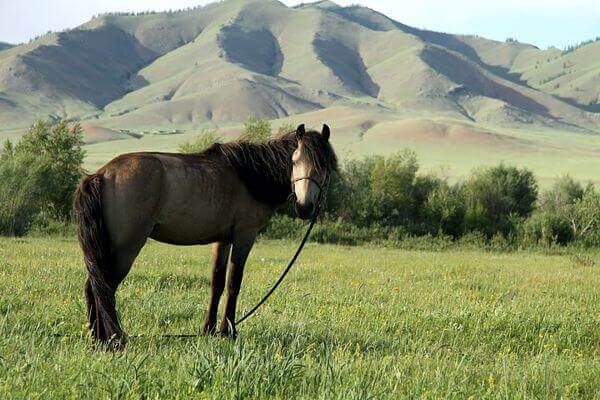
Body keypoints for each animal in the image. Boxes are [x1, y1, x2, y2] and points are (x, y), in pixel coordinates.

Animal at [74, 123, 338, 348]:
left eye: (324, 165)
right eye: (294, 161)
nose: (305, 207)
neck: (249, 176)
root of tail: (101, 175)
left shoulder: (223, 239)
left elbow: (217, 282)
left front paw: (208, 329)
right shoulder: (244, 236)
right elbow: (233, 283)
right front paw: (228, 331)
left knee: (93, 287)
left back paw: (98, 340)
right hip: (125, 249)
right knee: (104, 288)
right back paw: (115, 339)